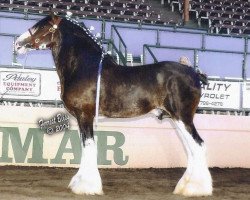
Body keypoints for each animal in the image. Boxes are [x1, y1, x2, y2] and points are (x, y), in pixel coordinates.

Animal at [14, 13, 212, 196]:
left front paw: (87, 186)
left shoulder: (85, 115)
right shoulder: (81, 118)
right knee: (191, 149)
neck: (83, 66)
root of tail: (194, 74)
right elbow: (84, 147)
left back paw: (196, 188)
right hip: (176, 119)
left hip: (182, 117)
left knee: (199, 145)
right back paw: (185, 187)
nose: (17, 44)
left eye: (42, 26)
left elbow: (89, 147)